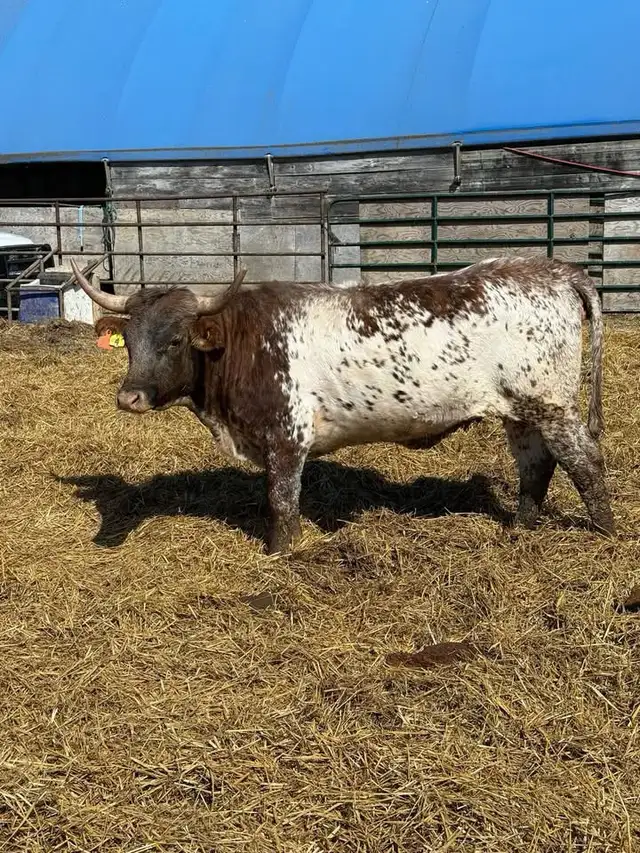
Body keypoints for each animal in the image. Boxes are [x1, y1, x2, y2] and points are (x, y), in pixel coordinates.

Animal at [70, 256, 615, 555]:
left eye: (177, 339)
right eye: (130, 341)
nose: (129, 397)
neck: (242, 341)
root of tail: (555, 271)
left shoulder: (286, 437)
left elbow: (282, 503)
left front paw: (279, 554)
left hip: (552, 403)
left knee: (585, 462)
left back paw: (606, 533)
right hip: (520, 410)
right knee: (536, 467)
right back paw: (521, 529)